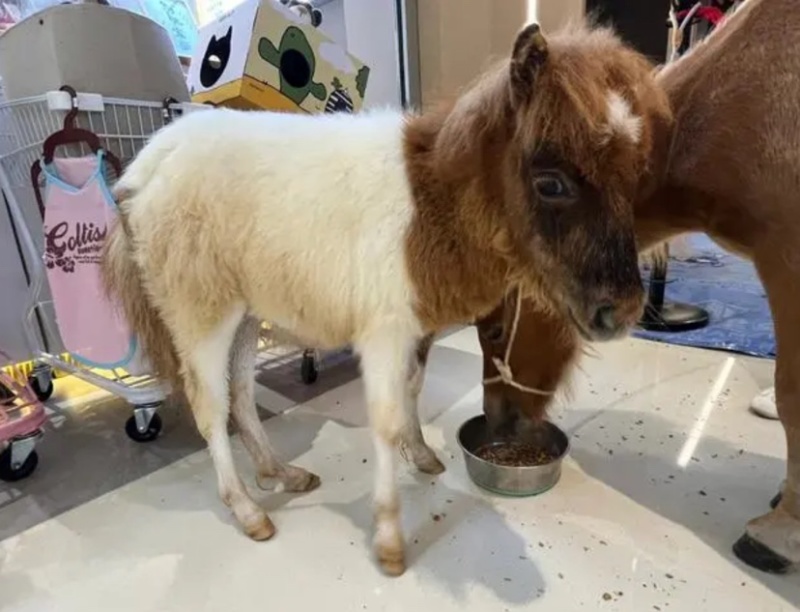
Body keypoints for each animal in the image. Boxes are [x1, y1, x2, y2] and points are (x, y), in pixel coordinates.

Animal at [101, 22, 669, 576]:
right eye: (550, 183)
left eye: (636, 176)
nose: (621, 311)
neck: (431, 203)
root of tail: (142, 169)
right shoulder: (383, 333)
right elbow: (385, 416)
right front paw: (391, 542)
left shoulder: (416, 330)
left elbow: (412, 392)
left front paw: (422, 457)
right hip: (200, 314)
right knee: (211, 406)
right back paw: (248, 511)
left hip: (245, 314)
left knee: (240, 395)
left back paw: (279, 474)